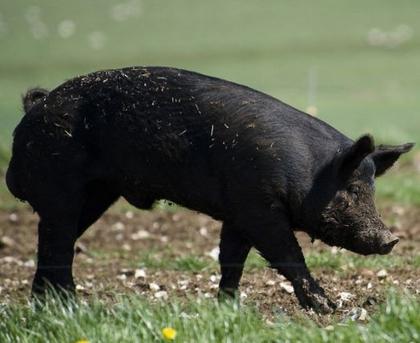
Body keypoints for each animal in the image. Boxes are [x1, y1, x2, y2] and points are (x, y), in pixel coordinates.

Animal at [6, 66, 414, 314]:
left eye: (373, 188)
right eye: (351, 190)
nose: (391, 239)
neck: (307, 173)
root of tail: (34, 108)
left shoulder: (237, 212)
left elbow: (231, 259)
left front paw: (228, 306)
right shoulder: (258, 208)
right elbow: (287, 254)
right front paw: (326, 307)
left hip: (97, 194)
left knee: (52, 247)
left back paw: (46, 304)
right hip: (60, 190)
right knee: (57, 246)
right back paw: (70, 306)